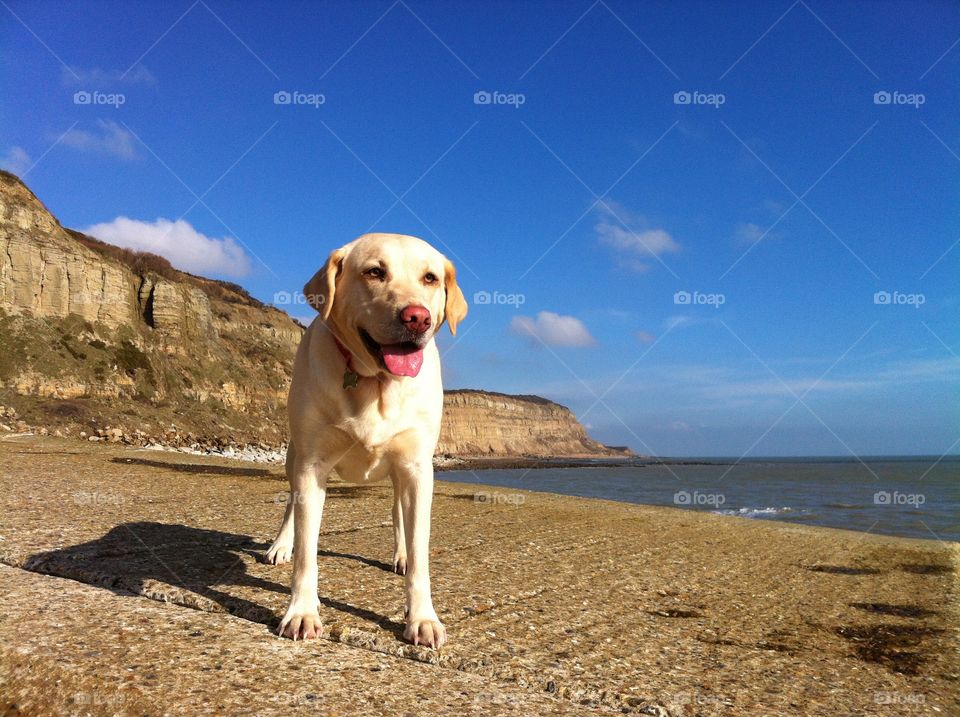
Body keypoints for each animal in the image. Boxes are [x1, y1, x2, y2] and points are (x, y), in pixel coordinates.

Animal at [268, 232, 466, 648]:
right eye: (375, 272)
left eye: (430, 278)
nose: (417, 317)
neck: (376, 382)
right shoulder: (312, 465)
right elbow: (307, 553)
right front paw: (301, 612)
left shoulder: (417, 468)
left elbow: (420, 553)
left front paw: (422, 618)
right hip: (293, 455)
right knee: (291, 505)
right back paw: (280, 544)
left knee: (397, 513)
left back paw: (401, 554)